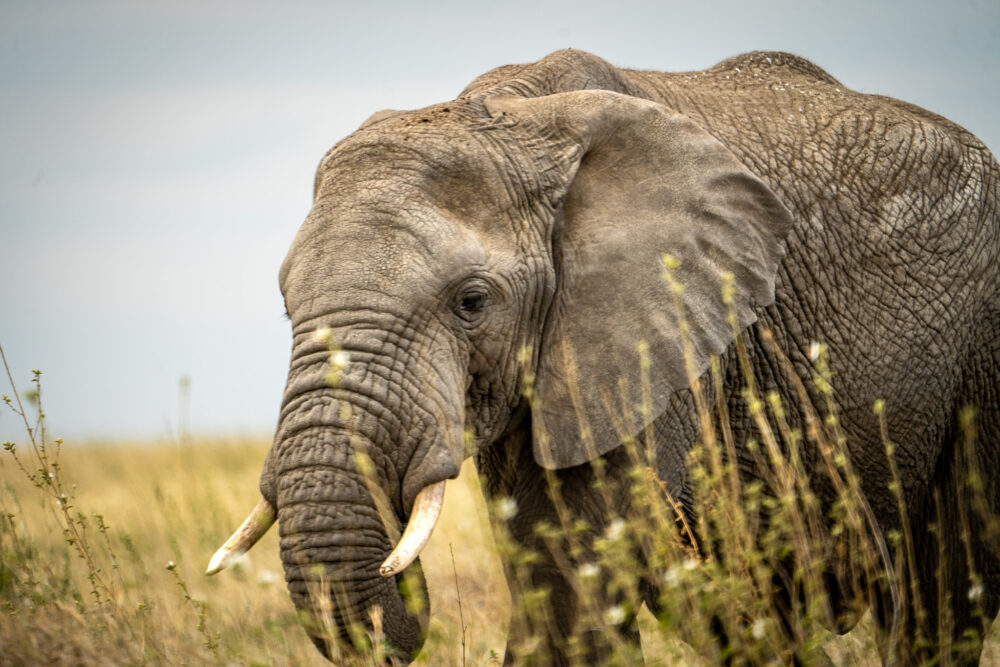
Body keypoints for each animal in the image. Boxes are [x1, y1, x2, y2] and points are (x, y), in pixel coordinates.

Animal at [209, 49, 1000, 664]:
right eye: (287, 306)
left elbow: (573, 578)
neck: (514, 114)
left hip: (981, 360)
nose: (394, 571)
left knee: (941, 593)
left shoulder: (660, 333)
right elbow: (542, 565)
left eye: (471, 301)